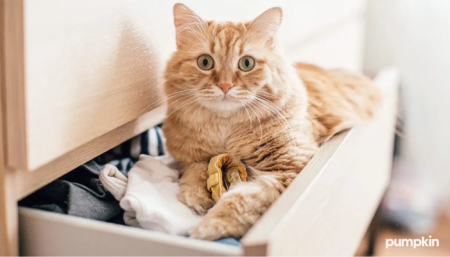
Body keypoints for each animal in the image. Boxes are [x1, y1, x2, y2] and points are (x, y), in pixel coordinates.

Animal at [162, 4, 380, 239]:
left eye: (246, 63)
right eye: (205, 62)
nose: (225, 86)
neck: (226, 132)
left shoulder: (289, 168)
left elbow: (242, 200)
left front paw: (206, 227)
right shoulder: (190, 158)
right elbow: (195, 173)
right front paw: (195, 198)